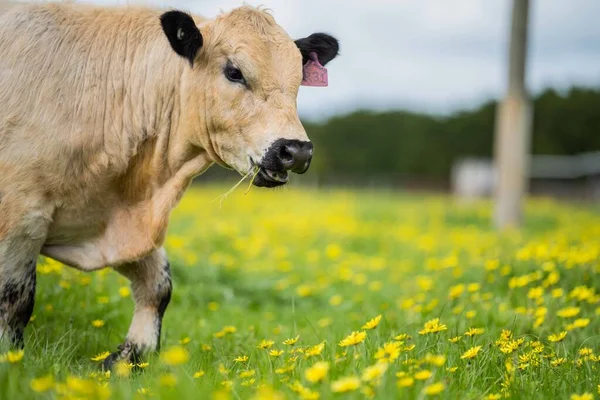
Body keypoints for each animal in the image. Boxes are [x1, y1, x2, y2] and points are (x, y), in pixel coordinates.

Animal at [0, 0, 338, 368]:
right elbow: (14, 300)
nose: (296, 151)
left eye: (297, 80)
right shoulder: (19, 216)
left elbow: (158, 287)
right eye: (234, 72)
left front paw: (127, 358)